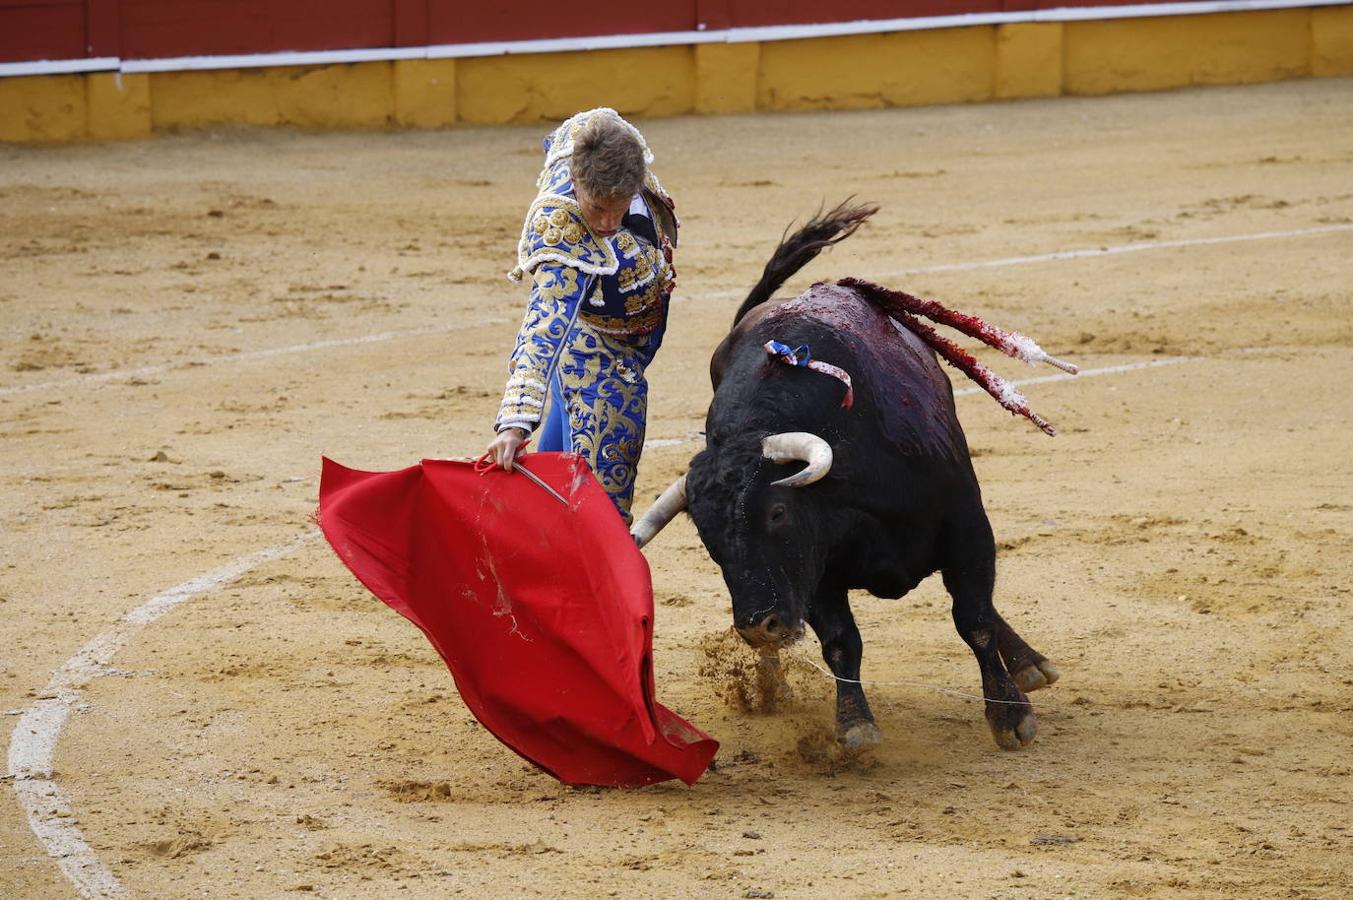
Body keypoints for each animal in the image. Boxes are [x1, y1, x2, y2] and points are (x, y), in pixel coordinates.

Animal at [627, 205, 1060, 752]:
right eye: (707, 538)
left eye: (777, 512)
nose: (758, 627)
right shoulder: (815, 571)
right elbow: (840, 641)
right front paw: (854, 726)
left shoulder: (965, 522)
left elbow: (974, 619)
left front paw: (1010, 717)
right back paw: (771, 685)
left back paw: (1031, 665)